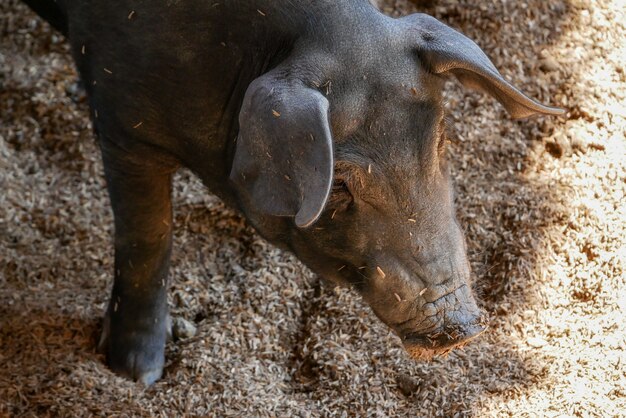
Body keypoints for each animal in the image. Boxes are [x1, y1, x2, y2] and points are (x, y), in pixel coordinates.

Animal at [22, 0, 564, 386]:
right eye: (339, 182)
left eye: (442, 140)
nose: (464, 328)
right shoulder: (122, 127)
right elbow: (147, 239)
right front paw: (137, 377)